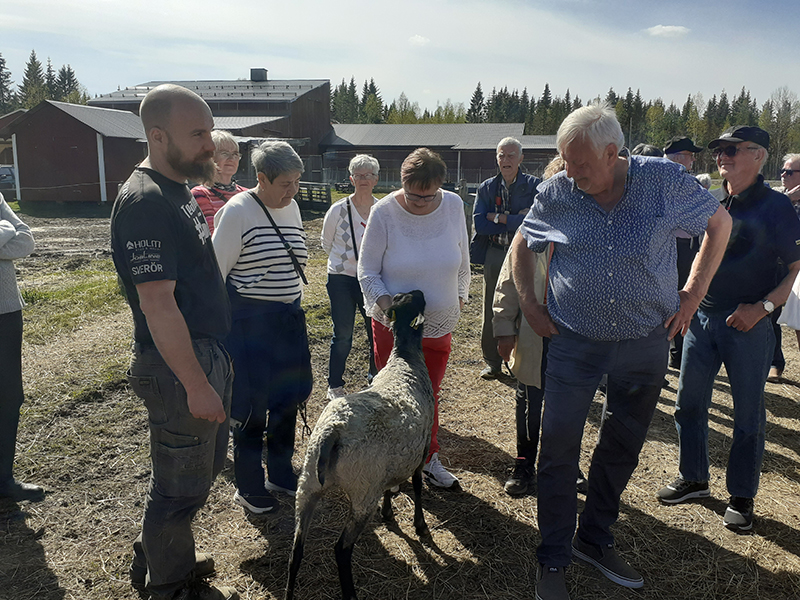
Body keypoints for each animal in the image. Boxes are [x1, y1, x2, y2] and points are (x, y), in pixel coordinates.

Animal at [288, 288, 434, 596]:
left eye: (403, 297)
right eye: (416, 299)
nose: (420, 291)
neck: (405, 358)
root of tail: (333, 431)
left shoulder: (393, 461)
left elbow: (392, 486)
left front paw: (389, 512)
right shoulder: (422, 445)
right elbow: (416, 484)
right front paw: (420, 525)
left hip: (307, 485)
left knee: (296, 551)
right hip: (363, 490)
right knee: (341, 549)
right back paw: (350, 592)